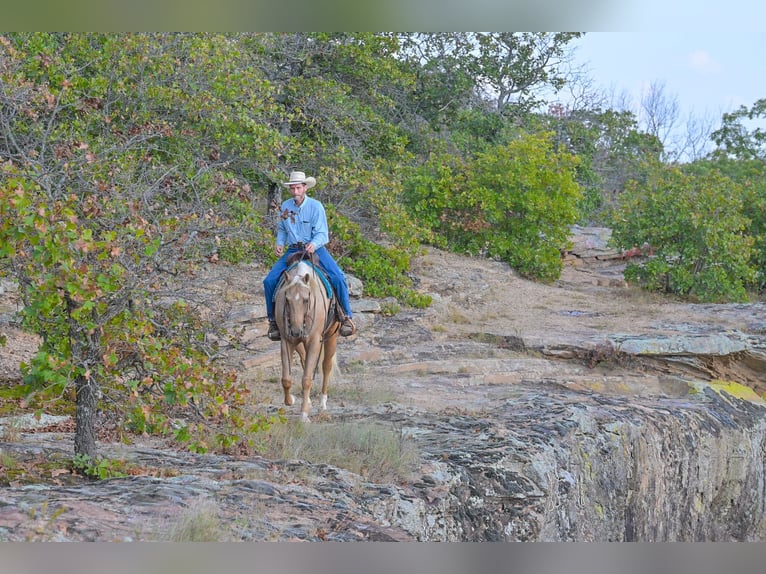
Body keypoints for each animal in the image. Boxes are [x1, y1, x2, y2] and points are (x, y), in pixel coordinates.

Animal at [273, 252, 340, 422]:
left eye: (306, 299)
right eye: (286, 299)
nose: (296, 331)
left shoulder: (315, 341)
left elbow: (307, 379)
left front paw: (303, 415)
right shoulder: (286, 341)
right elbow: (286, 379)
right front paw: (291, 400)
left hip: (332, 335)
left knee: (326, 365)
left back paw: (322, 402)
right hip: (299, 342)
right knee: (304, 360)